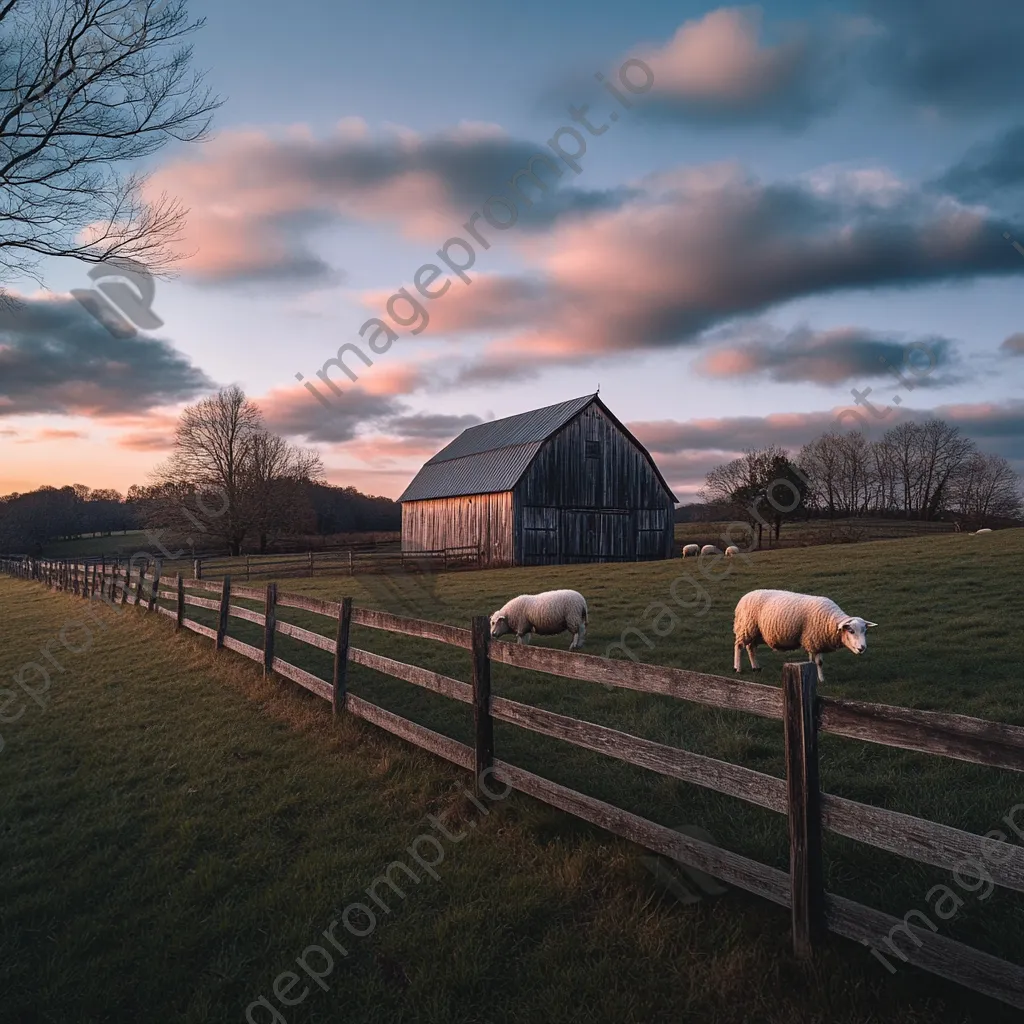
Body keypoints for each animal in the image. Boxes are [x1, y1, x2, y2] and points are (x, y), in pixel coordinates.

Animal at [733, 589, 876, 684]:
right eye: (851, 631)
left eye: (865, 631)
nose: (862, 648)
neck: (831, 620)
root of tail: (744, 596)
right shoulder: (813, 640)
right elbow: (816, 662)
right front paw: (820, 679)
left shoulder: (815, 641)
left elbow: (816, 661)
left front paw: (818, 677)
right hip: (746, 627)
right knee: (739, 646)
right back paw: (738, 668)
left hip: (755, 632)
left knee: (751, 648)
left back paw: (756, 668)